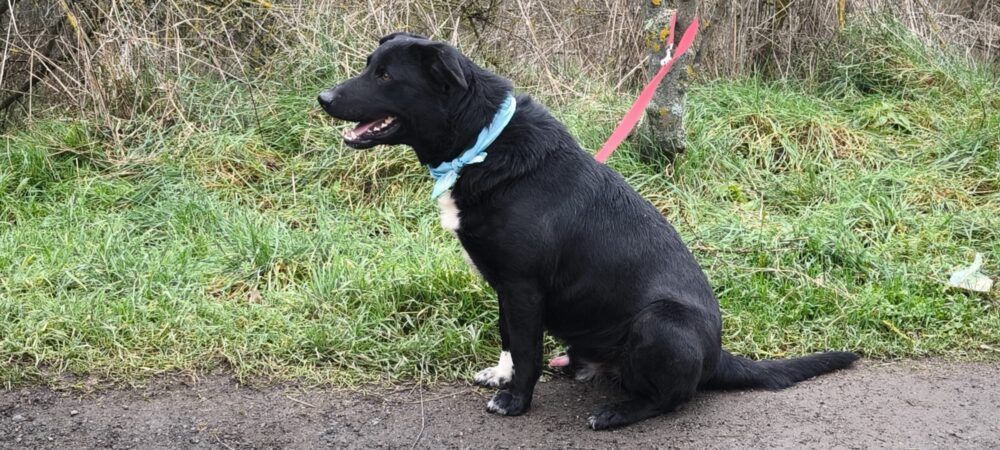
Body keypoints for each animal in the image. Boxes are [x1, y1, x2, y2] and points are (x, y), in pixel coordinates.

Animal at [318, 32, 858, 430]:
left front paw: (516, 402)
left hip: (660, 323)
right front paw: (503, 375)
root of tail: (718, 356)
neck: (483, 145)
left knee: (670, 398)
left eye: (386, 75)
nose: (323, 98)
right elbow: (510, 337)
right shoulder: (505, 286)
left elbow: (528, 349)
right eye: (369, 66)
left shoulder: (523, 285)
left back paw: (617, 412)